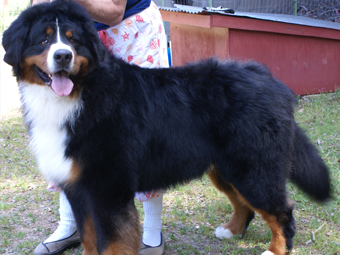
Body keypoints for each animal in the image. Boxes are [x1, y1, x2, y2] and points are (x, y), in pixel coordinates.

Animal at [1, 0, 330, 254]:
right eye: (44, 40)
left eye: (72, 40)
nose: (63, 56)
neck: (81, 94)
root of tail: (265, 75)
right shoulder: (80, 190)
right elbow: (90, 240)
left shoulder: (108, 190)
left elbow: (111, 244)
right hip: (225, 167)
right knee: (244, 203)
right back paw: (231, 230)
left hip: (253, 167)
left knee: (282, 212)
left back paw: (275, 249)